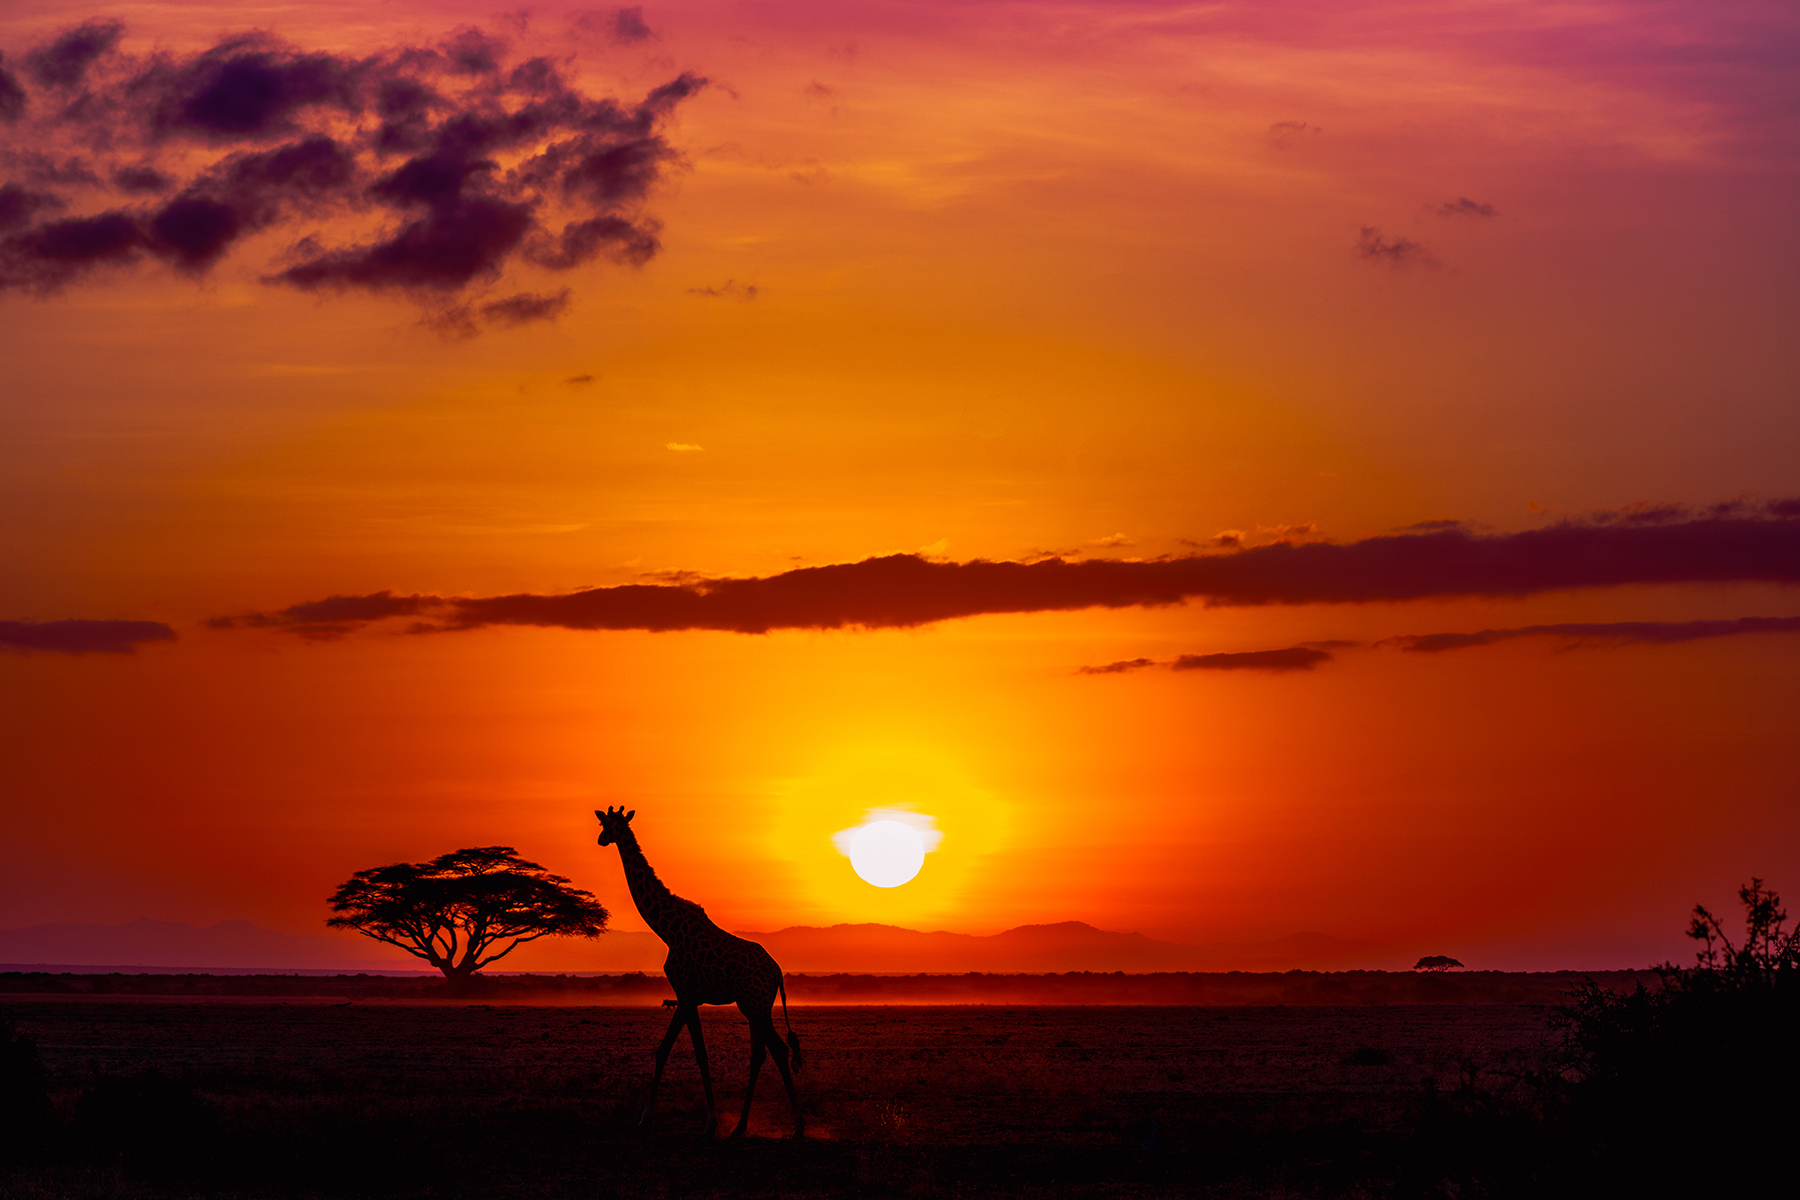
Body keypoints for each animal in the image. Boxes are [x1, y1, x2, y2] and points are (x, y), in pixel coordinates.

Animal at [594, 806, 804, 1138]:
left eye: (607, 825)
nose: (601, 839)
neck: (666, 930)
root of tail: (777, 972)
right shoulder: (685, 996)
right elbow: (663, 1050)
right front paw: (644, 1118)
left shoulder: (686, 992)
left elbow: (700, 1054)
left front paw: (710, 1123)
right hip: (758, 1007)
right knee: (765, 1053)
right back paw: (751, 1127)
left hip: (754, 1004)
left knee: (775, 1050)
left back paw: (786, 1126)